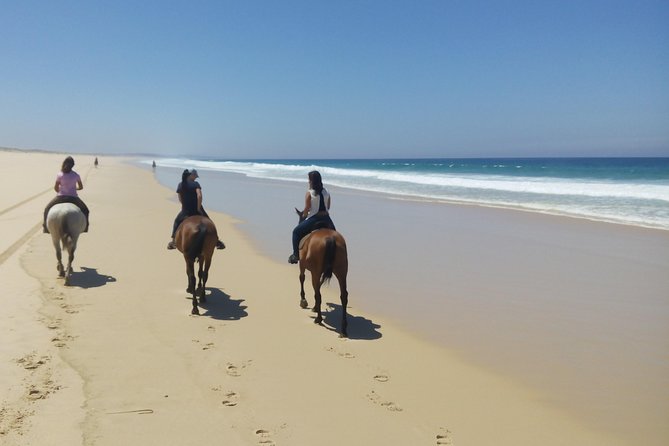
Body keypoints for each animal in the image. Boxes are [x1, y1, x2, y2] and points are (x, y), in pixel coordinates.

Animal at [294, 208, 349, 337]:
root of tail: (330, 239)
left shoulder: (303, 266)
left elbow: (302, 278)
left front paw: (303, 301)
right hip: (342, 271)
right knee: (343, 296)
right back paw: (343, 329)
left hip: (316, 271)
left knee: (318, 294)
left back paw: (318, 319)